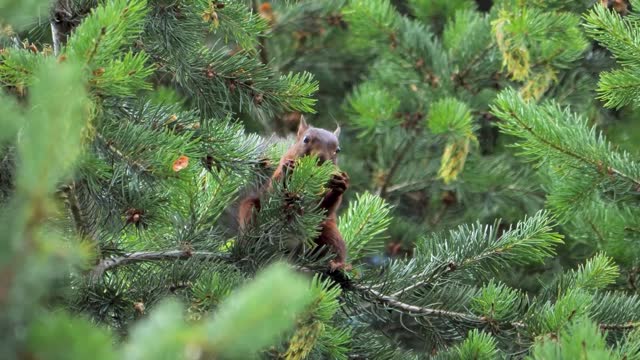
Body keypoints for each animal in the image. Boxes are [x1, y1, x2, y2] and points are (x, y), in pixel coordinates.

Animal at [239, 116, 350, 272]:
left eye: (338, 150)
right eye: (305, 139)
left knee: (333, 247)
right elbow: (274, 192)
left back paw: (337, 266)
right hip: (251, 210)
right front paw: (288, 169)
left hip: (328, 232)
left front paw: (340, 184)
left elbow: (324, 208)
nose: (320, 159)